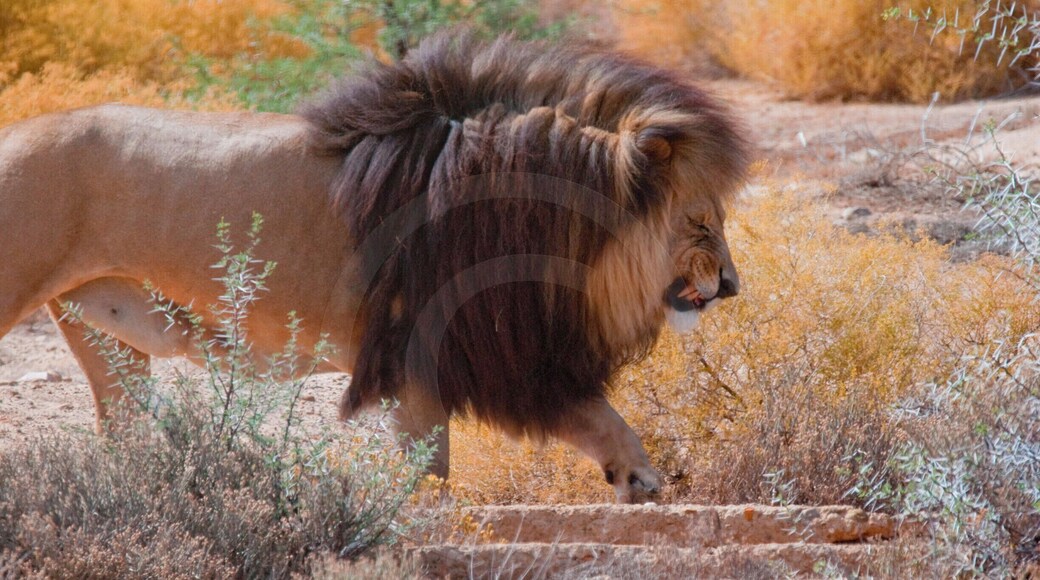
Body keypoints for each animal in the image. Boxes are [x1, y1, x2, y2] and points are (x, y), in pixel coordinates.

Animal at [0, 33, 747, 503]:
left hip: (106, 333)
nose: (732, 288)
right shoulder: (435, 357)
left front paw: (640, 479)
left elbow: (599, 420)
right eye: (701, 222)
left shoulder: (483, 361)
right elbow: (435, 479)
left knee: (121, 440)